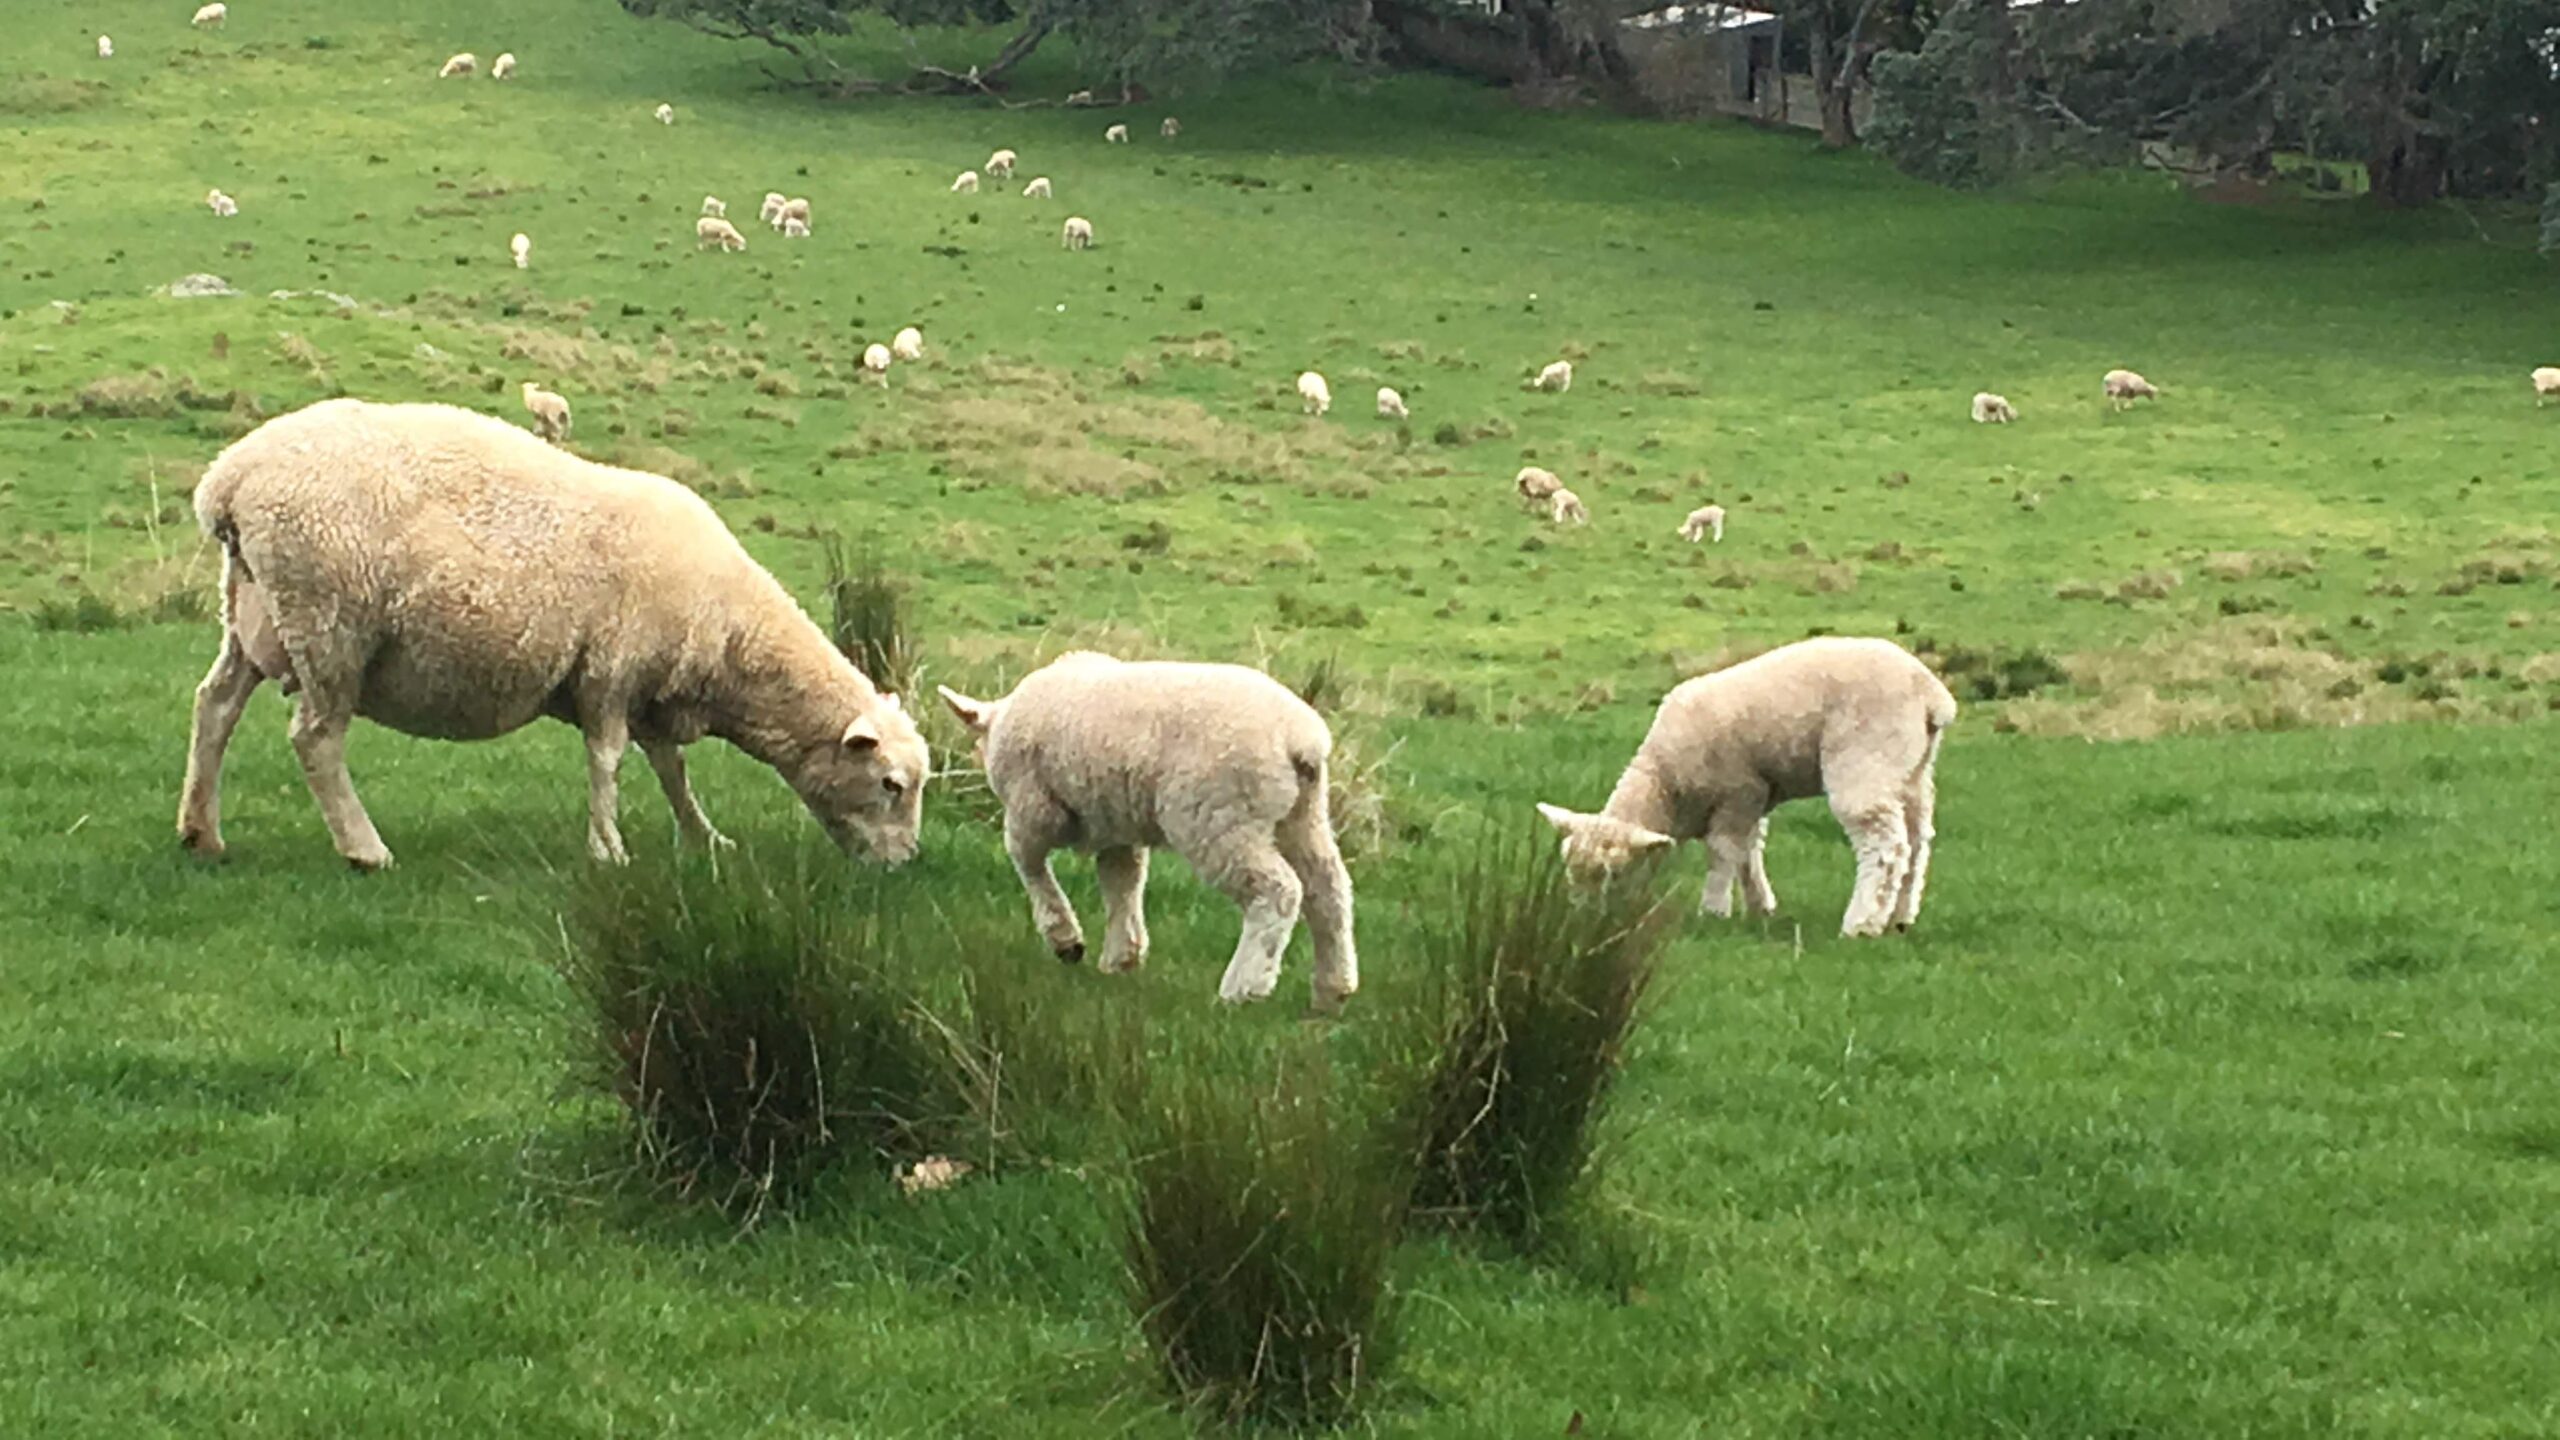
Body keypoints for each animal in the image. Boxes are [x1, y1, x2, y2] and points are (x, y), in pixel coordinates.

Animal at [175, 394, 931, 860]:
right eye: (890, 784)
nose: (906, 860)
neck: (732, 641)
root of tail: (229, 480)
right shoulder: (612, 672)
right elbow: (608, 763)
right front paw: (609, 848)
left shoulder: (653, 693)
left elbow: (673, 773)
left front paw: (704, 838)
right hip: (330, 622)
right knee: (316, 738)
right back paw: (364, 848)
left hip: (255, 613)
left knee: (215, 706)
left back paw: (201, 831)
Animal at [942, 650, 1372, 1009]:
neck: (1001, 720)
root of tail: (1301, 741)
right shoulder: (1115, 825)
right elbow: (1122, 881)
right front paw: (1122, 956)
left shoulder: (1032, 808)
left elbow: (1028, 863)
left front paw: (1066, 940)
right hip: (1301, 815)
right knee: (1328, 888)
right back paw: (1333, 987)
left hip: (1218, 815)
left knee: (1278, 889)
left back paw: (1243, 988)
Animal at [1536, 635, 1955, 932]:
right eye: (1570, 871)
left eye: (1613, 873)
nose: (1581, 924)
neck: (1665, 785)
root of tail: (1930, 694)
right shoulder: (1754, 798)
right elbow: (1749, 852)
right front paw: (1760, 907)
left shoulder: (1737, 792)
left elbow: (1724, 853)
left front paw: (1714, 910)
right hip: (1911, 771)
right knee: (1917, 842)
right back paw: (1899, 918)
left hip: (1866, 760)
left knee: (1886, 848)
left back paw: (1862, 924)